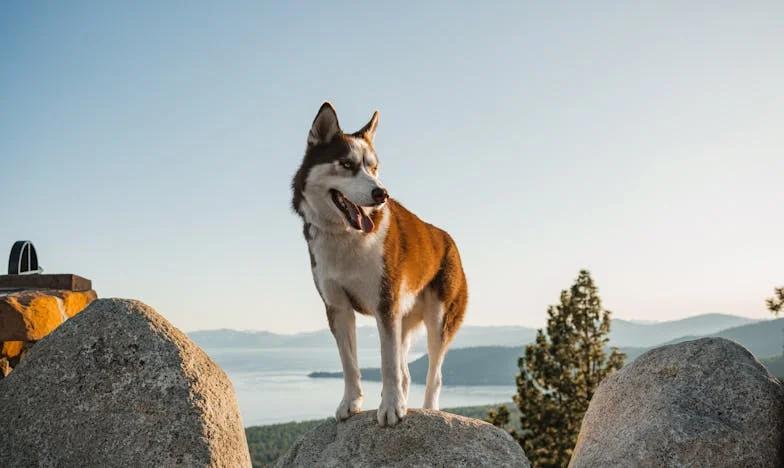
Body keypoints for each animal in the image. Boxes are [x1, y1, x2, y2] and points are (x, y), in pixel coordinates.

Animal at [292, 103, 466, 428]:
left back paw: (430, 410)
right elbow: (349, 363)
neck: (347, 236)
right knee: (407, 373)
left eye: (374, 168)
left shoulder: (385, 303)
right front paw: (351, 403)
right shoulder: (338, 307)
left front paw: (391, 408)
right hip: (404, 320)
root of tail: (448, 239)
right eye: (347, 164)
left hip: (438, 320)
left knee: (433, 375)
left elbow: (388, 365)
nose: (381, 194)